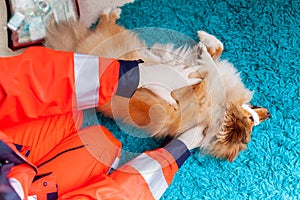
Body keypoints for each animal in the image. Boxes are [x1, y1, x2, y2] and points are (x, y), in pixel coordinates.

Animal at [45, 8, 272, 162]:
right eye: (251, 117)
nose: (267, 114)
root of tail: (75, 45)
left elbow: (208, 70)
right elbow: (217, 50)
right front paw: (203, 41)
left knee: (102, 25)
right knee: (103, 23)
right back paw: (113, 11)